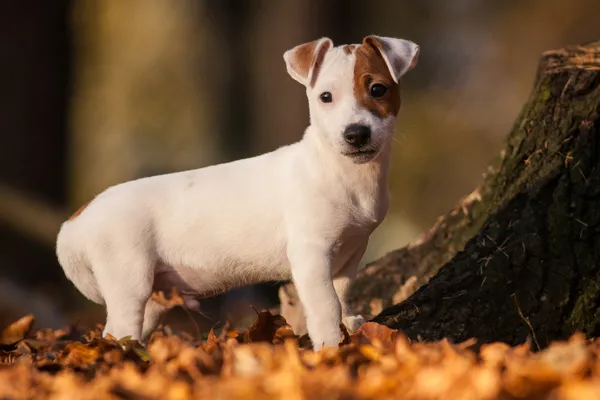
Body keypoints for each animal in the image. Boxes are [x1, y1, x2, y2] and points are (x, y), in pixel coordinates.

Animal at [58, 35, 420, 350]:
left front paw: (350, 324)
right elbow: (326, 305)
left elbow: (342, 294)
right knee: (117, 331)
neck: (342, 172)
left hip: (153, 296)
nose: (356, 134)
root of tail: (78, 219)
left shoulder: (350, 253)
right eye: (326, 97)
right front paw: (331, 346)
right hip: (128, 280)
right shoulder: (311, 255)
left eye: (378, 89)